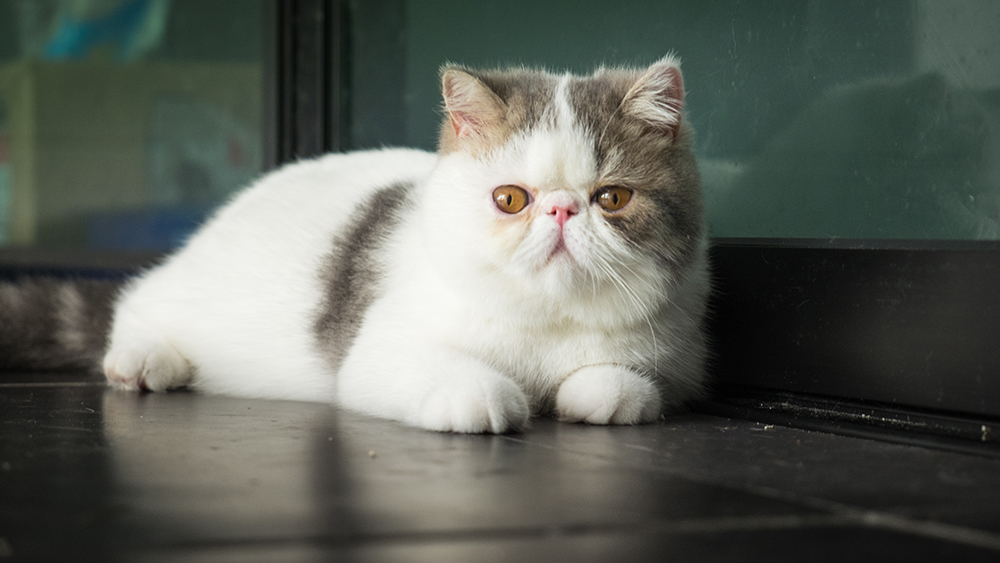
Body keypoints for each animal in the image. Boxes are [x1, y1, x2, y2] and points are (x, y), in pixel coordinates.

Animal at [3, 56, 716, 436]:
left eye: (612, 198)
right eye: (510, 199)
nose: (563, 210)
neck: (545, 321)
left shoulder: (677, 358)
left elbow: (624, 387)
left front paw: (601, 389)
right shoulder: (378, 347)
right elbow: (441, 372)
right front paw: (480, 395)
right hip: (187, 292)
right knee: (133, 300)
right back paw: (146, 359)